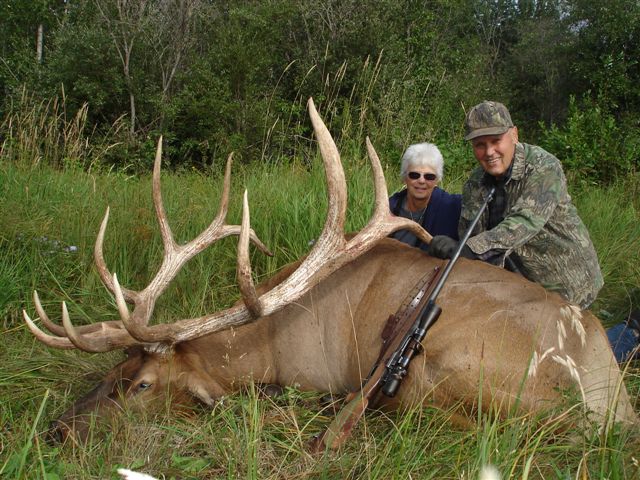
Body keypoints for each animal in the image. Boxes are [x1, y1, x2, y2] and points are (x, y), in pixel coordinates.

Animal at [23, 98, 638, 445]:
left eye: (142, 385)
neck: (268, 344)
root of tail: (602, 393)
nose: (56, 430)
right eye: (116, 369)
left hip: (452, 366)